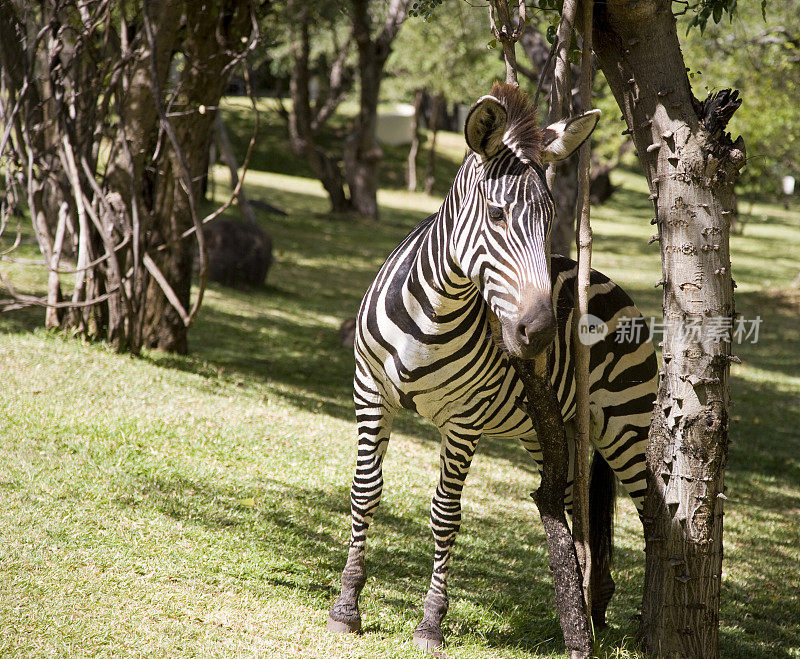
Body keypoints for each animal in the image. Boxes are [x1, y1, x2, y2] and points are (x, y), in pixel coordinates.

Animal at [324, 84, 656, 656]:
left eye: (550, 220)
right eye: (498, 217)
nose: (540, 334)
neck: (433, 311)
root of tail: (608, 281)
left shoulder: (464, 420)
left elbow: (445, 513)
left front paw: (431, 622)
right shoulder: (369, 392)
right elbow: (365, 491)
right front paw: (347, 607)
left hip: (626, 428)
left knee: (654, 513)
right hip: (549, 430)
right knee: (571, 505)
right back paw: (586, 612)